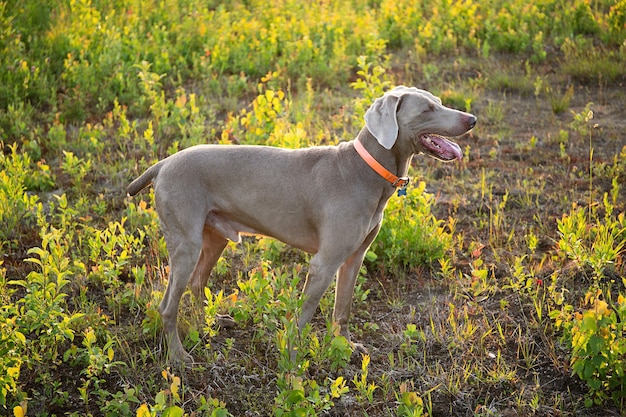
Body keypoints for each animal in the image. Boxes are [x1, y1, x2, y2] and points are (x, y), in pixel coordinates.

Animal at [129, 85, 476, 360]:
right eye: (427, 109)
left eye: (439, 101)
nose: (472, 120)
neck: (366, 169)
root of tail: (163, 163)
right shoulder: (324, 263)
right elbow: (305, 315)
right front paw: (293, 358)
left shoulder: (354, 257)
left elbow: (343, 308)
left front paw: (345, 347)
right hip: (186, 243)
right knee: (168, 305)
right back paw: (178, 357)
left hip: (216, 237)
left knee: (198, 282)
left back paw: (211, 324)